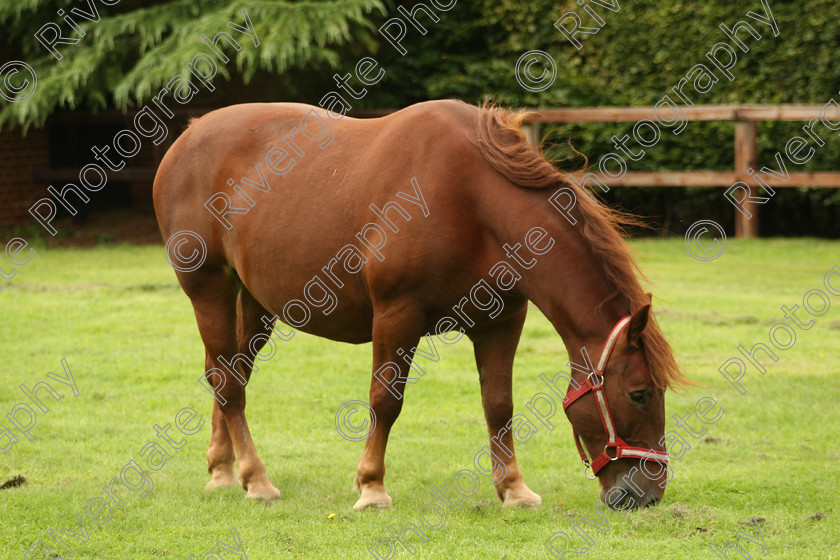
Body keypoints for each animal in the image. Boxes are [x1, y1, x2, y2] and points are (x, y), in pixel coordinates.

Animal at [153, 99, 684, 512]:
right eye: (640, 393)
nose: (648, 494)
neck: (472, 199)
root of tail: (189, 135)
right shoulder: (397, 315)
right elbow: (385, 401)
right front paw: (371, 488)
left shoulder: (502, 321)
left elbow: (499, 404)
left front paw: (514, 489)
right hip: (209, 290)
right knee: (228, 381)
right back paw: (257, 480)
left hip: (254, 301)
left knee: (229, 373)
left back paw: (224, 472)